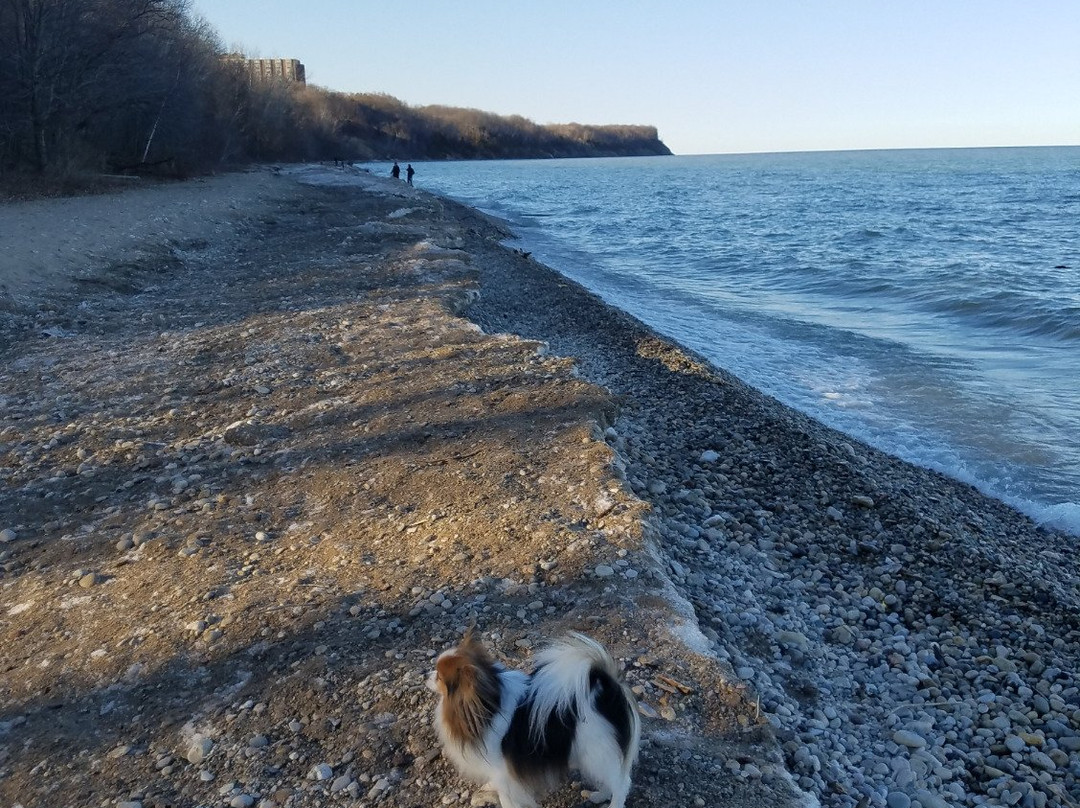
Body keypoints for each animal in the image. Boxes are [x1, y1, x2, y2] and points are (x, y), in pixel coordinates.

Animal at [425, 630, 635, 808]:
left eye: (440, 677)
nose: (426, 674)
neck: (488, 703)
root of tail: (607, 690)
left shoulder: (504, 773)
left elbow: (507, 799)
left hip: (598, 752)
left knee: (622, 783)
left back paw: (613, 803)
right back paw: (600, 795)